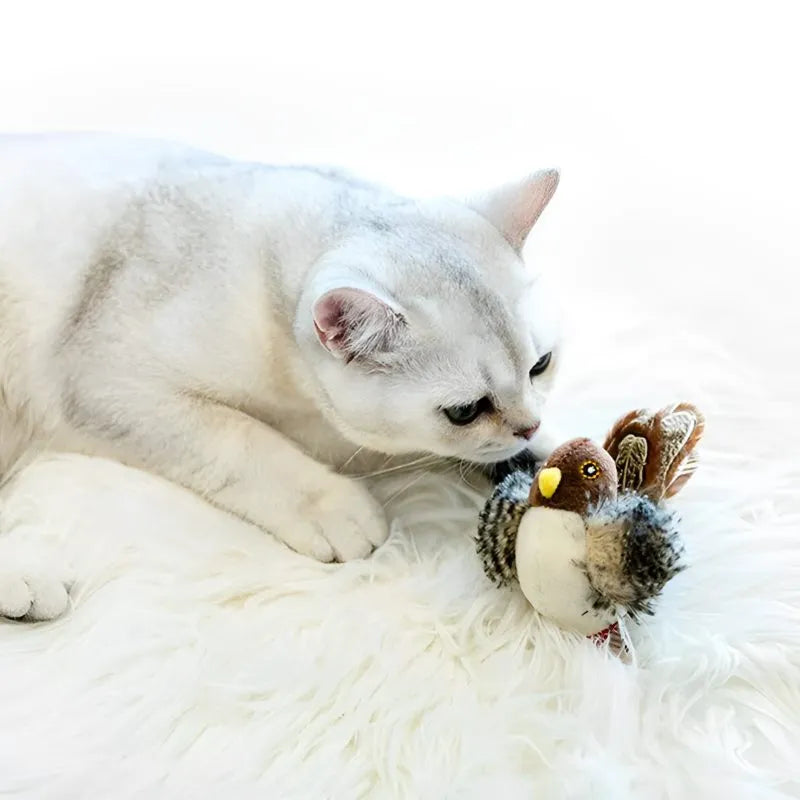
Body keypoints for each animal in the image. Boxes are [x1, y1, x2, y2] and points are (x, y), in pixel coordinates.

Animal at [0, 133, 564, 620]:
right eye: (466, 411)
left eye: (540, 366)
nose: (529, 426)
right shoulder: (104, 376)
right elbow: (241, 440)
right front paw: (332, 505)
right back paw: (25, 582)